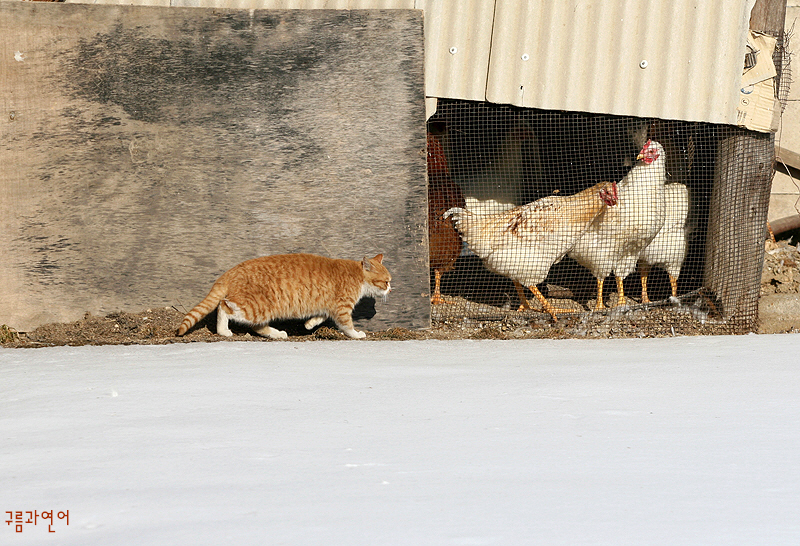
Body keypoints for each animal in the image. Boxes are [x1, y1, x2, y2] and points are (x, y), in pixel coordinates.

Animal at [175, 253, 390, 338]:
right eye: (386, 281)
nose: (391, 289)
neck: (357, 275)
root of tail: (231, 271)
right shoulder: (342, 308)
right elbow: (347, 326)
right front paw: (357, 334)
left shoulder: (328, 306)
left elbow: (320, 317)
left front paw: (309, 324)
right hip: (257, 306)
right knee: (223, 307)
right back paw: (223, 331)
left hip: (260, 310)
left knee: (258, 327)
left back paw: (277, 334)